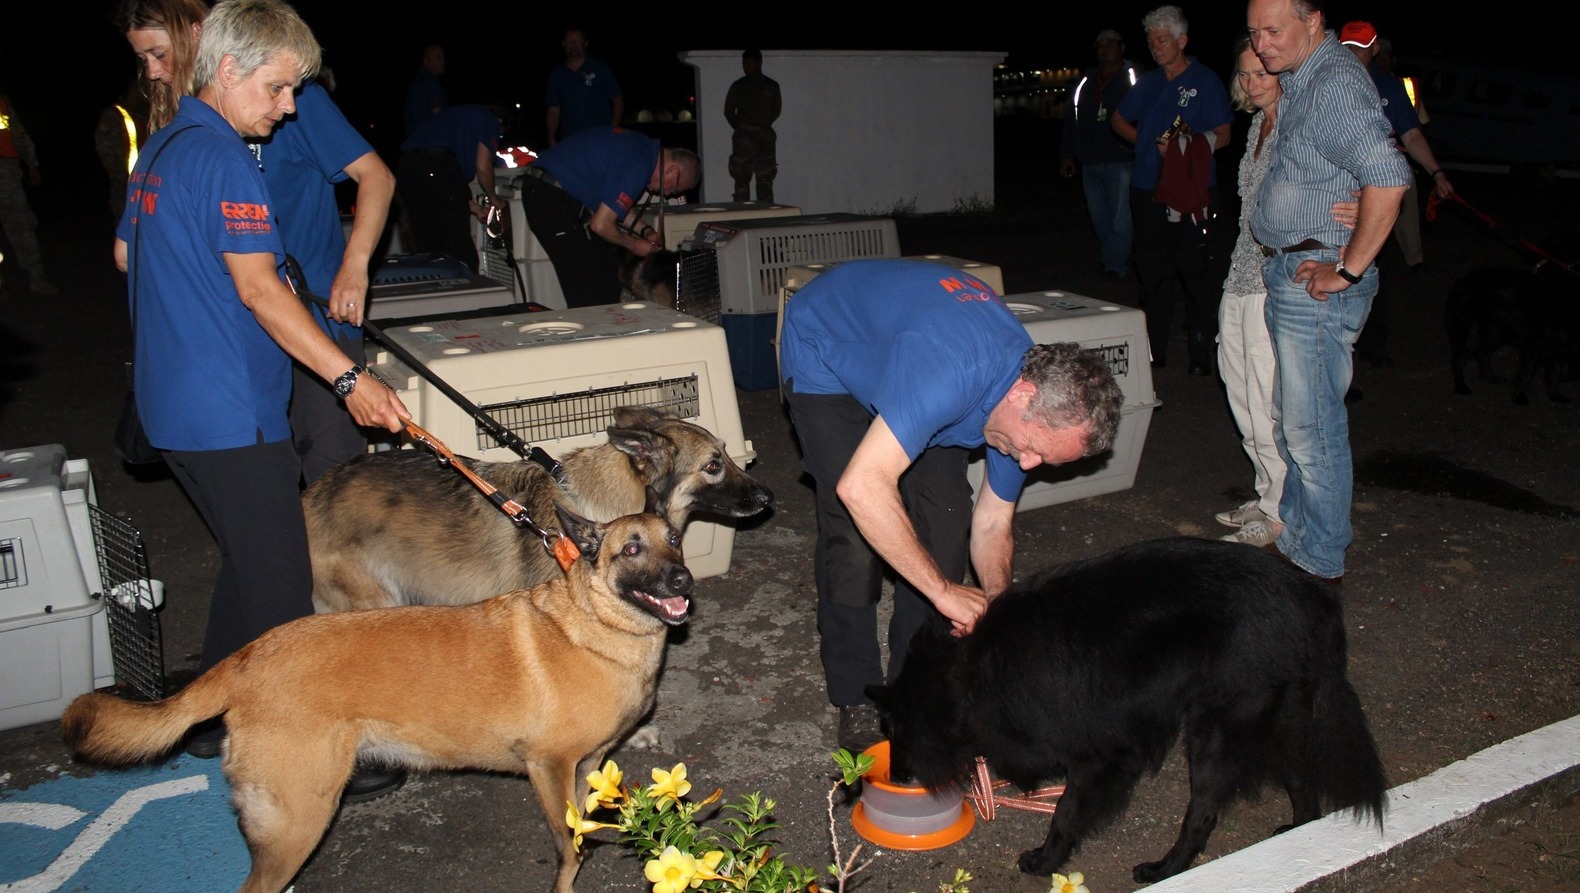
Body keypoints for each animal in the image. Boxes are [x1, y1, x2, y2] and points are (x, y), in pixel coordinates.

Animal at [61, 502, 692, 891]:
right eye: (630, 550)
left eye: (674, 541)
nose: (683, 580)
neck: (593, 624)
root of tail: (245, 659)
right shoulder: (548, 766)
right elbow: (567, 848)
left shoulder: (586, 766)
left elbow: (583, 828)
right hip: (299, 820)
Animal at [872, 534, 1390, 878]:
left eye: (895, 729)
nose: (895, 775)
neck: (971, 675)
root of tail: (1311, 597)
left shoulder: (1100, 755)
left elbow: (1066, 812)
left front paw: (1046, 859)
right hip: (1277, 720)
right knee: (1301, 779)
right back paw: (1301, 830)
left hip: (1216, 731)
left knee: (1202, 813)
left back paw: (1165, 868)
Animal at [1447, 260, 1580, 404]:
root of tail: (1461, 283)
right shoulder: (1536, 346)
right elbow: (1528, 373)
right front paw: (1519, 397)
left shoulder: (1561, 350)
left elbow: (1555, 374)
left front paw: (1555, 395)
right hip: (1472, 335)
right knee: (1458, 361)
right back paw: (1461, 387)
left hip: (1496, 334)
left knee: (1482, 355)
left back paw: (1492, 378)